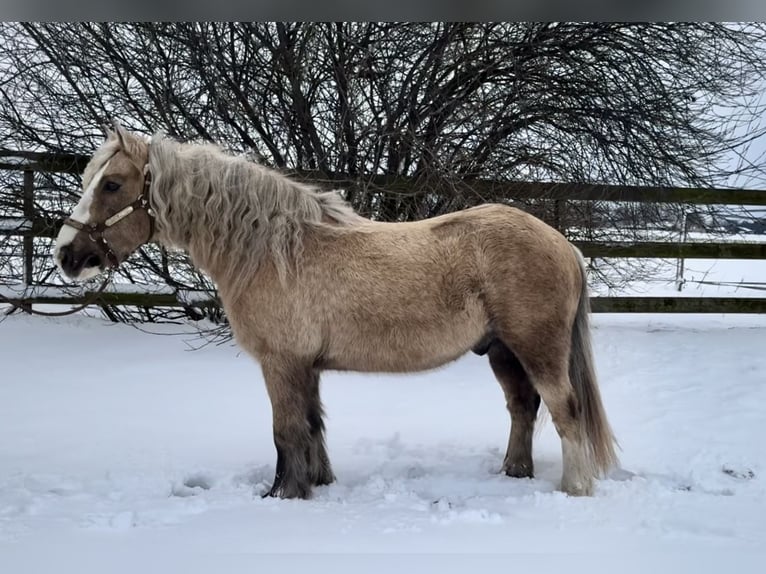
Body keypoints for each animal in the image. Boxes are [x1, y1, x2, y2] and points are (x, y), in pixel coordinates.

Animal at [53, 124, 618, 499]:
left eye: (112, 184)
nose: (66, 255)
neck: (272, 249)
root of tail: (562, 243)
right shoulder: (306, 366)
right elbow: (312, 425)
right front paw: (318, 483)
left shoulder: (280, 363)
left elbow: (286, 430)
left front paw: (283, 495)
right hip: (502, 351)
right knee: (523, 407)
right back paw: (513, 473)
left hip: (536, 349)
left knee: (565, 411)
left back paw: (573, 488)